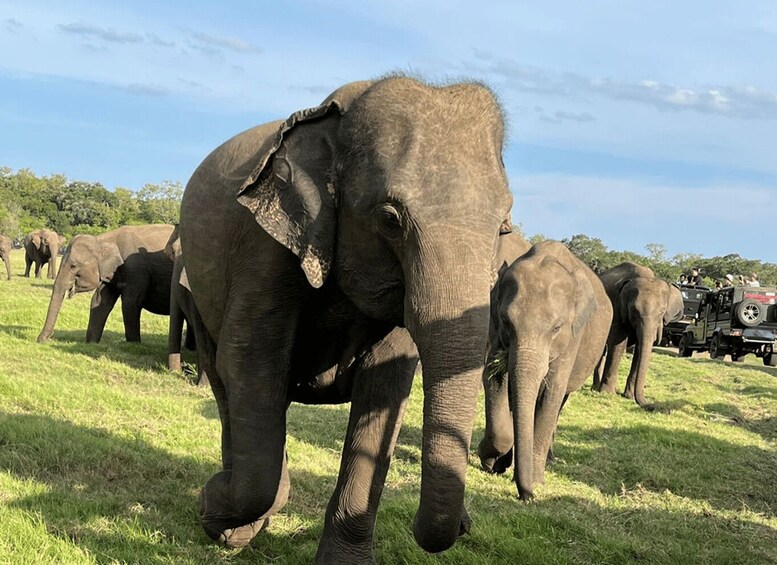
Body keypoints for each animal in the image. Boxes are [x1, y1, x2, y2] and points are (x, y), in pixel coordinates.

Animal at [37, 224, 175, 343]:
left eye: (73, 266)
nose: (43, 339)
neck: (102, 239)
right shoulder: (110, 273)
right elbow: (100, 301)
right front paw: (91, 343)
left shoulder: (136, 269)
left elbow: (131, 303)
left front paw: (134, 344)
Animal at [179, 76, 513, 562]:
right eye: (390, 219)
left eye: (504, 224)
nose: (464, 529)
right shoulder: (264, 247)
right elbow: (251, 363)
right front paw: (213, 506)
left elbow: (385, 386)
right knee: (227, 383)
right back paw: (237, 515)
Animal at [478, 240, 612, 500]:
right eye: (506, 321)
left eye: (557, 328)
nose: (527, 497)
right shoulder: (493, 326)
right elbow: (495, 377)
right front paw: (492, 462)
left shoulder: (573, 337)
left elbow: (551, 394)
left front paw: (535, 481)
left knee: (561, 401)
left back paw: (549, 459)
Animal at [593, 262, 684, 409]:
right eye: (634, 310)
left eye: (662, 312)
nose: (654, 406)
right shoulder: (617, 308)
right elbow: (618, 343)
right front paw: (607, 394)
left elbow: (640, 349)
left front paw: (628, 397)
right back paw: (595, 388)